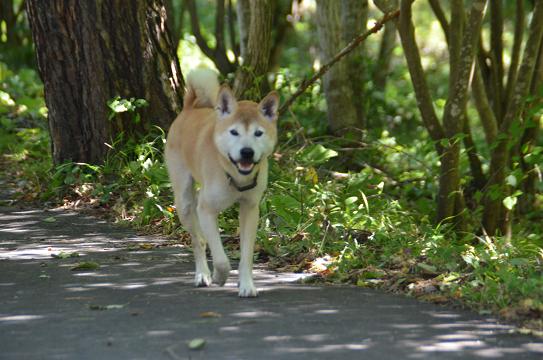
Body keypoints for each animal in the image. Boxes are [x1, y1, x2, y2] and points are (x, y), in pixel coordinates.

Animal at [164, 68, 278, 298]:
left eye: (258, 133)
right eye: (234, 132)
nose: (247, 152)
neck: (234, 173)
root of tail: (189, 108)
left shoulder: (250, 209)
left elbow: (246, 255)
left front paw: (246, 285)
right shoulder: (206, 210)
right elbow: (221, 259)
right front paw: (219, 276)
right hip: (185, 202)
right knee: (198, 241)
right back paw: (203, 275)